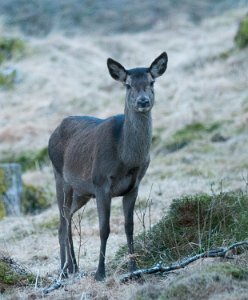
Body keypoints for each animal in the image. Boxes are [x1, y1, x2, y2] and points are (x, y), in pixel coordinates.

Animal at [47, 52, 168, 282]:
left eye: (152, 82)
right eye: (128, 85)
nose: (143, 101)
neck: (126, 160)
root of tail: (53, 131)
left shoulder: (133, 186)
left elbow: (130, 227)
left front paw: (134, 269)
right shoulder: (101, 183)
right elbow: (104, 229)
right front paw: (100, 273)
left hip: (82, 192)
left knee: (69, 217)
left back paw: (74, 266)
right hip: (60, 176)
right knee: (62, 222)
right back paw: (63, 269)